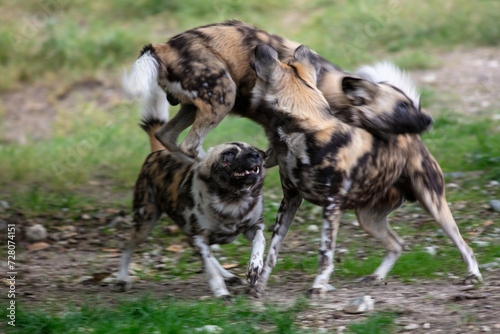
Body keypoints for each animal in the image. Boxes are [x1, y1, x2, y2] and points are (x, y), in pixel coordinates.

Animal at [115, 99, 268, 298]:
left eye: (253, 150)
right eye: (229, 154)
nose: (256, 155)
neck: (233, 201)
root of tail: (160, 151)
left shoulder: (253, 228)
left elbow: (260, 242)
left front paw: (254, 266)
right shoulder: (199, 237)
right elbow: (210, 270)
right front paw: (221, 293)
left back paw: (228, 275)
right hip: (145, 223)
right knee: (128, 246)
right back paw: (122, 278)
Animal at [123, 20, 432, 160]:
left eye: (413, 104)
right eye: (402, 107)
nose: (429, 119)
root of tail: (161, 48)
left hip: (194, 105)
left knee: (166, 136)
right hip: (223, 95)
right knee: (189, 145)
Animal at [248, 44, 482, 298]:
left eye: (269, 60)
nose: (259, 47)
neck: (299, 134)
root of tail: (413, 139)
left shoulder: (331, 207)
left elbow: (325, 256)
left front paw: (318, 287)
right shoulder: (290, 201)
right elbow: (272, 252)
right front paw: (259, 286)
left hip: (433, 204)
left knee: (463, 243)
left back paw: (473, 275)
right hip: (368, 219)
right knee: (397, 244)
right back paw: (377, 276)